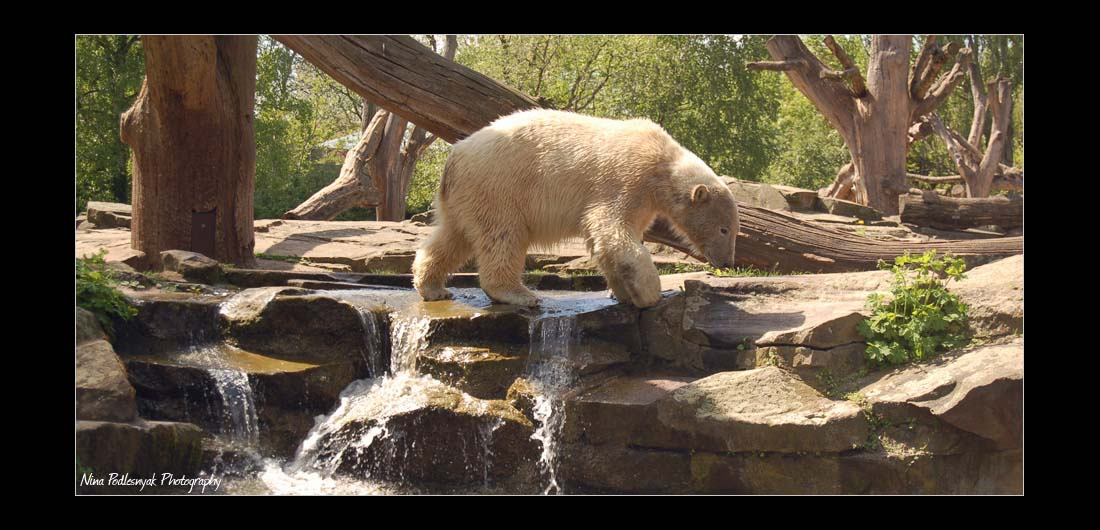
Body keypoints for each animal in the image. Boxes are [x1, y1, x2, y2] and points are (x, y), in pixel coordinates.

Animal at [412, 108, 739, 309]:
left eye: (733, 231)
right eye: (724, 229)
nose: (727, 262)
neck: (663, 163)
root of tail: (454, 156)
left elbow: (605, 241)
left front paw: (623, 292)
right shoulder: (626, 177)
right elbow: (612, 228)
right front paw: (649, 293)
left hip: (465, 196)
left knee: (453, 237)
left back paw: (432, 286)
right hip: (498, 186)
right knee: (503, 236)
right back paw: (518, 294)